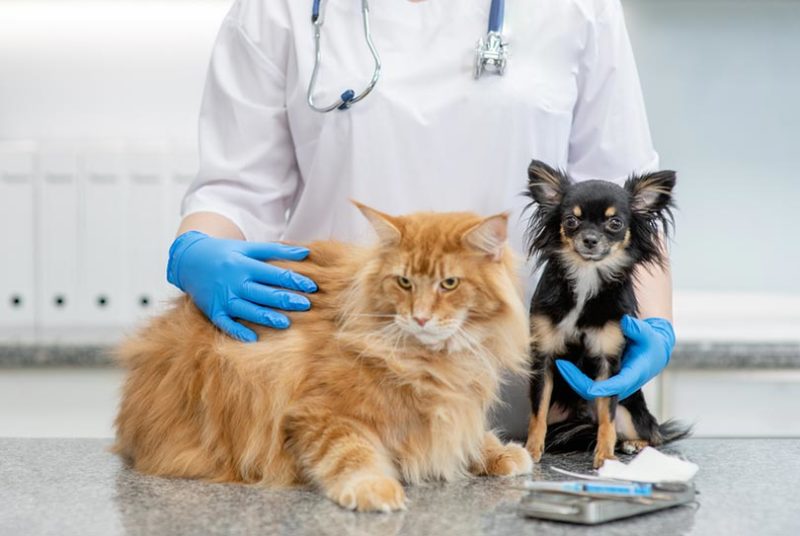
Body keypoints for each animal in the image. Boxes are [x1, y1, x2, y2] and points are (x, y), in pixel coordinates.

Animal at [114, 203, 532, 512]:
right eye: (404, 282)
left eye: (449, 284)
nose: (420, 317)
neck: (433, 361)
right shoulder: (318, 414)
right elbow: (352, 453)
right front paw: (375, 488)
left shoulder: (456, 405)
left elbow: (468, 435)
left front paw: (499, 453)